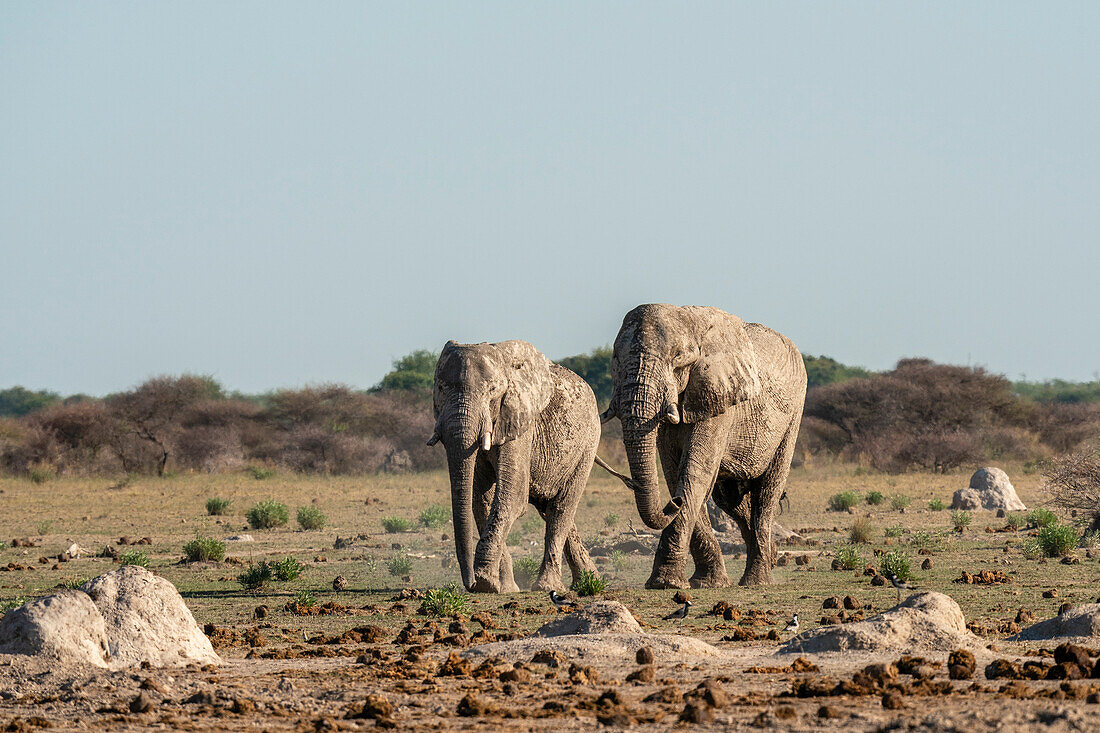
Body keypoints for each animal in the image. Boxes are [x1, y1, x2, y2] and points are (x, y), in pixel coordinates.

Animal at [429, 338, 602, 589]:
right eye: (441, 388)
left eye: (492, 391)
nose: (470, 583)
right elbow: (481, 499)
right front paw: (501, 586)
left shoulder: (520, 424)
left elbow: (512, 497)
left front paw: (485, 582)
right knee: (549, 507)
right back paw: (590, 580)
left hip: (588, 444)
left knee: (561, 508)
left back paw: (548, 586)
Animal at [602, 303, 809, 589]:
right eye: (616, 359)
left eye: (678, 358)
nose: (673, 503)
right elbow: (675, 471)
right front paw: (707, 582)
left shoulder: (719, 399)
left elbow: (695, 472)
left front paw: (666, 582)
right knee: (730, 499)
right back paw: (771, 557)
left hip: (792, 417)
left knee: (767, 493)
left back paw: (757, 580)